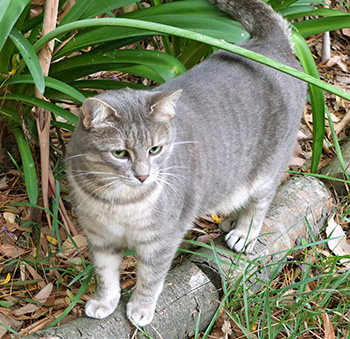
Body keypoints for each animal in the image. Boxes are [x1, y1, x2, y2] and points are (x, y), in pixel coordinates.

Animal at [65, 0, 306, 326]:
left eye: (155, 149)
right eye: (120, 154)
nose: (143, 176)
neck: (117, 201)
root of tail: (270, 43)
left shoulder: (161, 241)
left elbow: (150, 278)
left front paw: (141, 308)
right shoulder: (100, 238)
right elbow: (105, 275)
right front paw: (105, 301)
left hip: (267, 170)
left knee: (260, 203)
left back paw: (243, 233)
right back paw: (230, 220)